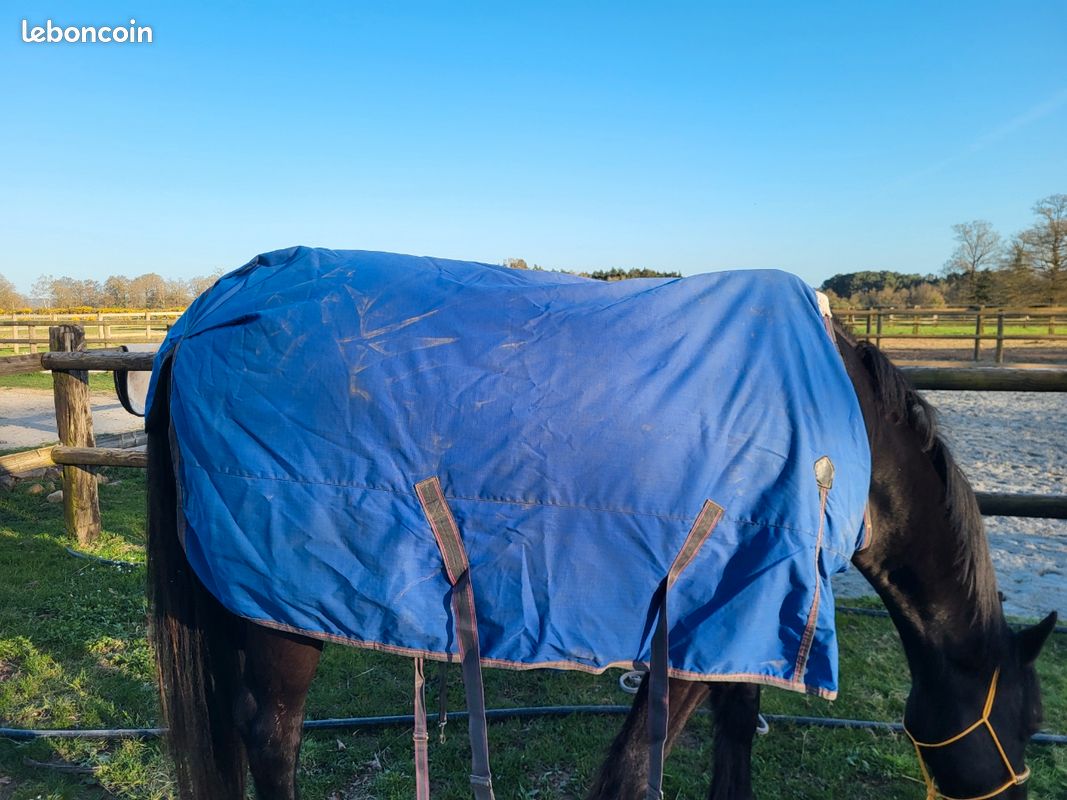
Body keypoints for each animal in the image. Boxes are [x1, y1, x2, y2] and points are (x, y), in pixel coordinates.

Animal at [143, 250, 1056, 800]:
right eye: (1025, 723)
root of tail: (207, 309)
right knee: (272, 736)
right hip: (281, 608)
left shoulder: (750, 614)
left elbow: (735, 736)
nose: (1012, 792)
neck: (840, 438)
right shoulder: (698, 626)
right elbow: (631, 771)